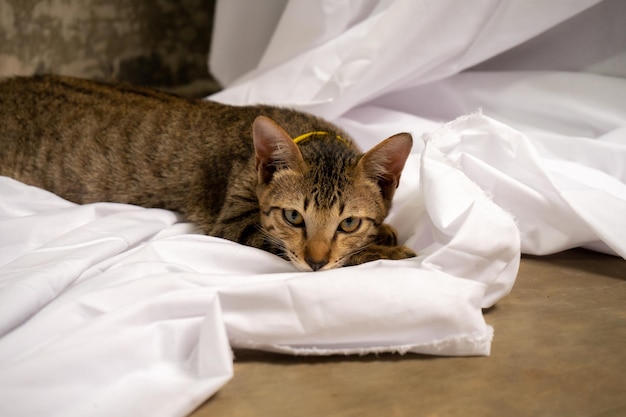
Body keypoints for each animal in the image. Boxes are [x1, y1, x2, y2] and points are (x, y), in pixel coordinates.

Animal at [0, 74, 414, 270]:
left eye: (348, 223)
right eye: (294, 217)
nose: (315, 261)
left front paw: (384, 233)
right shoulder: (234, 223)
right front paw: (389, 251)